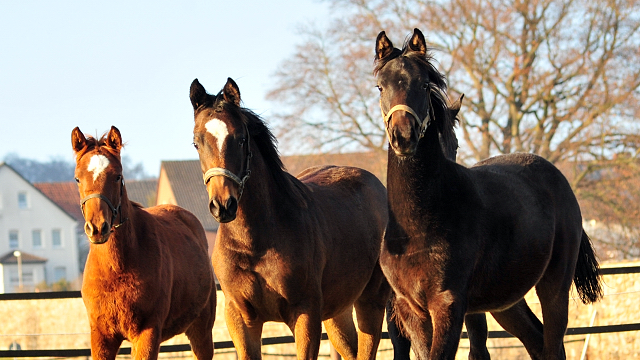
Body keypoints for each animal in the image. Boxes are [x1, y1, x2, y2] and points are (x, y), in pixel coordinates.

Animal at [70, 125, 215, 358]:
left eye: (117, 176)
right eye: (77, 178)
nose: (98, 228)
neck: (117, 268)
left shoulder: (147, 333)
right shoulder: (101, 336)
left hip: (201, 330)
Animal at [190, 76, 390, 360]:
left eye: (241, 139)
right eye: (197, 142)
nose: (223, 205)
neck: (255, 244)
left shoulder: (305, 313)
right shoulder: (240, 318)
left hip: (370, 300)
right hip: (337, 311)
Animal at [372, 28, 604, 360]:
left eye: (424, 84)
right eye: (380, 86)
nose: (403, 136)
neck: (419, 223)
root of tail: (559, 179)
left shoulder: (449, 305)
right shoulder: (410, 310)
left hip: (554, 286)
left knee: (552, 343)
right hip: (506, 300)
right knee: (536, 340)